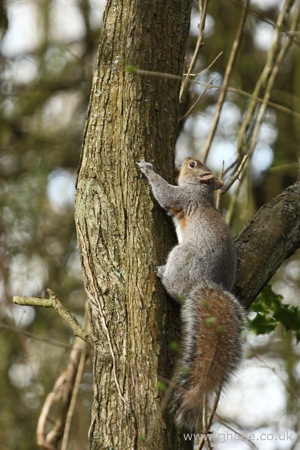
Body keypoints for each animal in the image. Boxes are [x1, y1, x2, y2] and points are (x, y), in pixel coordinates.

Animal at [138, 156, 244, 430]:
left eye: (193, 165)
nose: (185, 158)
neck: (202, 192)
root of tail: (205, 283)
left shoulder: (184, 198)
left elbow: (165, 194)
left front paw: (148, 170)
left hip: (181, 256)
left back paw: (162, 274)